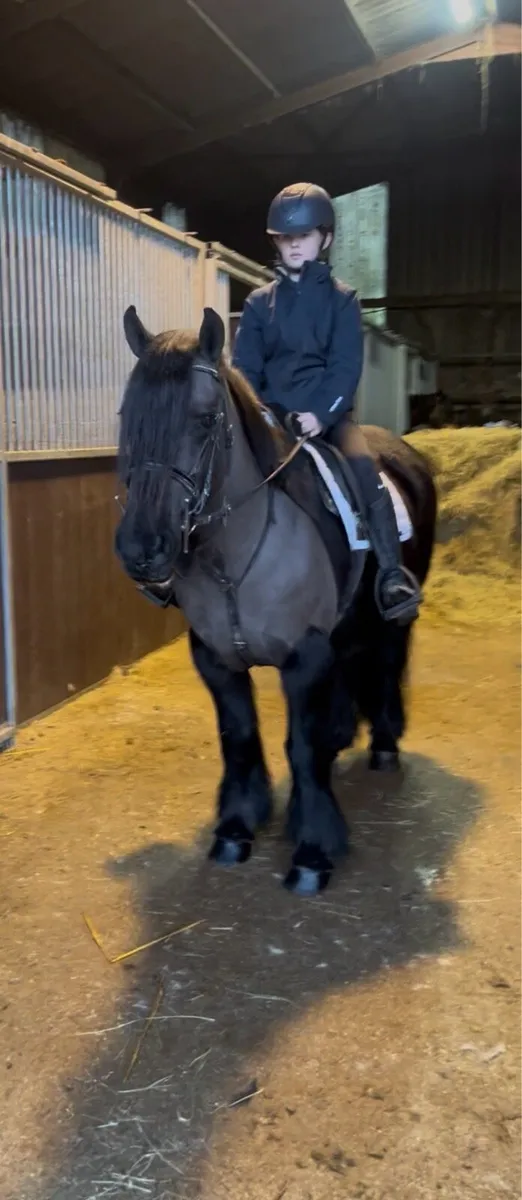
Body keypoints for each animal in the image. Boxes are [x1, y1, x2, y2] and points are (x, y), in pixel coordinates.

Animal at [115, 305, 437, 896]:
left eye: (204, 420)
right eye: (129, 415)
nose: (141, 549)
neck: (234, 559)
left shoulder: (304, 658)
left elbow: (301, 748)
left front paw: (311, 852)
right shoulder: (217, 661)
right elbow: (241, 738)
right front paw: (236, 829)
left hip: (393, 618)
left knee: (385, 663)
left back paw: (383, 745)